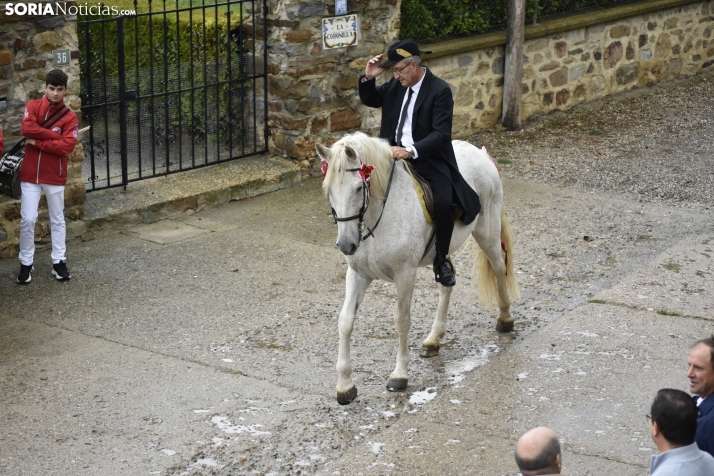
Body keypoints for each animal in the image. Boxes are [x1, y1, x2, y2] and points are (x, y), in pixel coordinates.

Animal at [318, 131, 516, 406]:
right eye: (329, 191)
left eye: (359, 187)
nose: (347, 245)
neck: (378, 216)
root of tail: (481, 153)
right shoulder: (358, 275)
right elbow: (346, 321)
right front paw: (345, 385)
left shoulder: (405, 274)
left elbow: (402, 320)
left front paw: (399, 375)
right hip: (442, 252)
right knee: (447, 283)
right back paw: (433, 340)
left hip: (486, 231)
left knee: (498, 266)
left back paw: (505, 319)